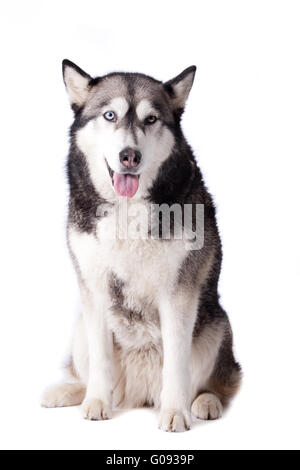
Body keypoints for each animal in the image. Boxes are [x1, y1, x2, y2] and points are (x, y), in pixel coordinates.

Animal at [41, 60, 241, 432]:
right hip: (81, 328)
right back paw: (71, 392)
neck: (127, 209)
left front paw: (175, 412)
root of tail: (139, 393)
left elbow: (176, 365)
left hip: (215, 325)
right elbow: (101, 361)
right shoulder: (94, 290)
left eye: (151, 119)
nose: (129, 156)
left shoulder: (178, 294)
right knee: (90, 371)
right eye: (109, 115)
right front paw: (96, 403)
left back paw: (205, 402)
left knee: (217, 382)